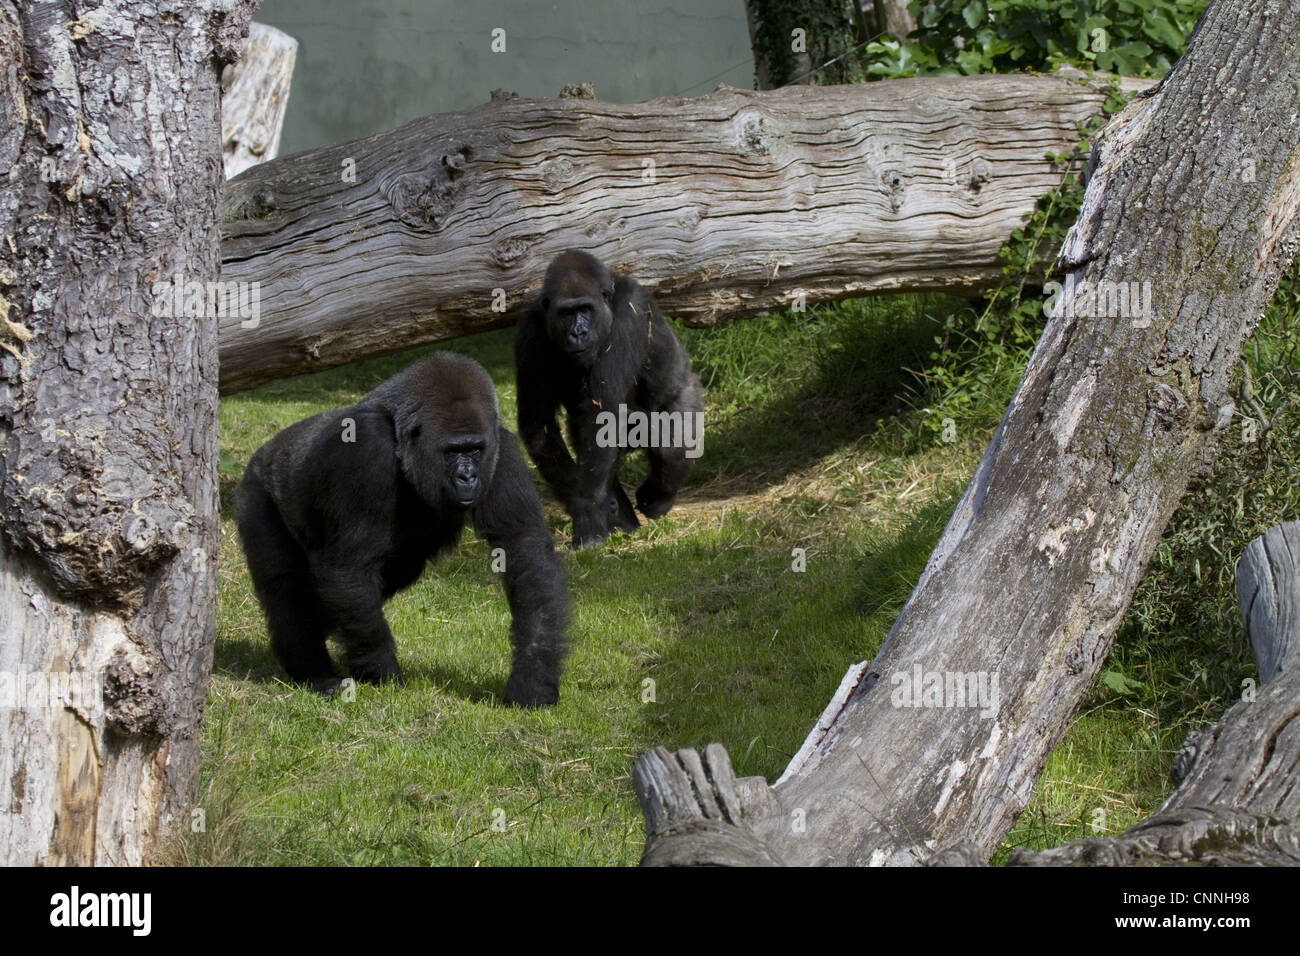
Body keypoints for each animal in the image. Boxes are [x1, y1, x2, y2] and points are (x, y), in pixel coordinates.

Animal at [235, 348, 569, 702]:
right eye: (453, 451)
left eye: (475, 450)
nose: (468, 476)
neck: (400, 436)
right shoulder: (365, 447)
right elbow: (349, 566)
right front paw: (381, 670)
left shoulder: (500, 448)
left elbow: (523, 550)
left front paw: (532, 677)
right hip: (255, 491)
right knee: (285, 588)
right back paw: (314, 673)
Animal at [512, 248, 707, 546]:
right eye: (566, 313)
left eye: (585, 310)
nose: (577, 333)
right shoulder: (530, 331)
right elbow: (540, 425)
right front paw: (588, 508)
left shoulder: (630, 310)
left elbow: (603, 414)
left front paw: (590, 511)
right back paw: (624, 518)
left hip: (688, 392)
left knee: (673, 443)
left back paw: (659, 497)